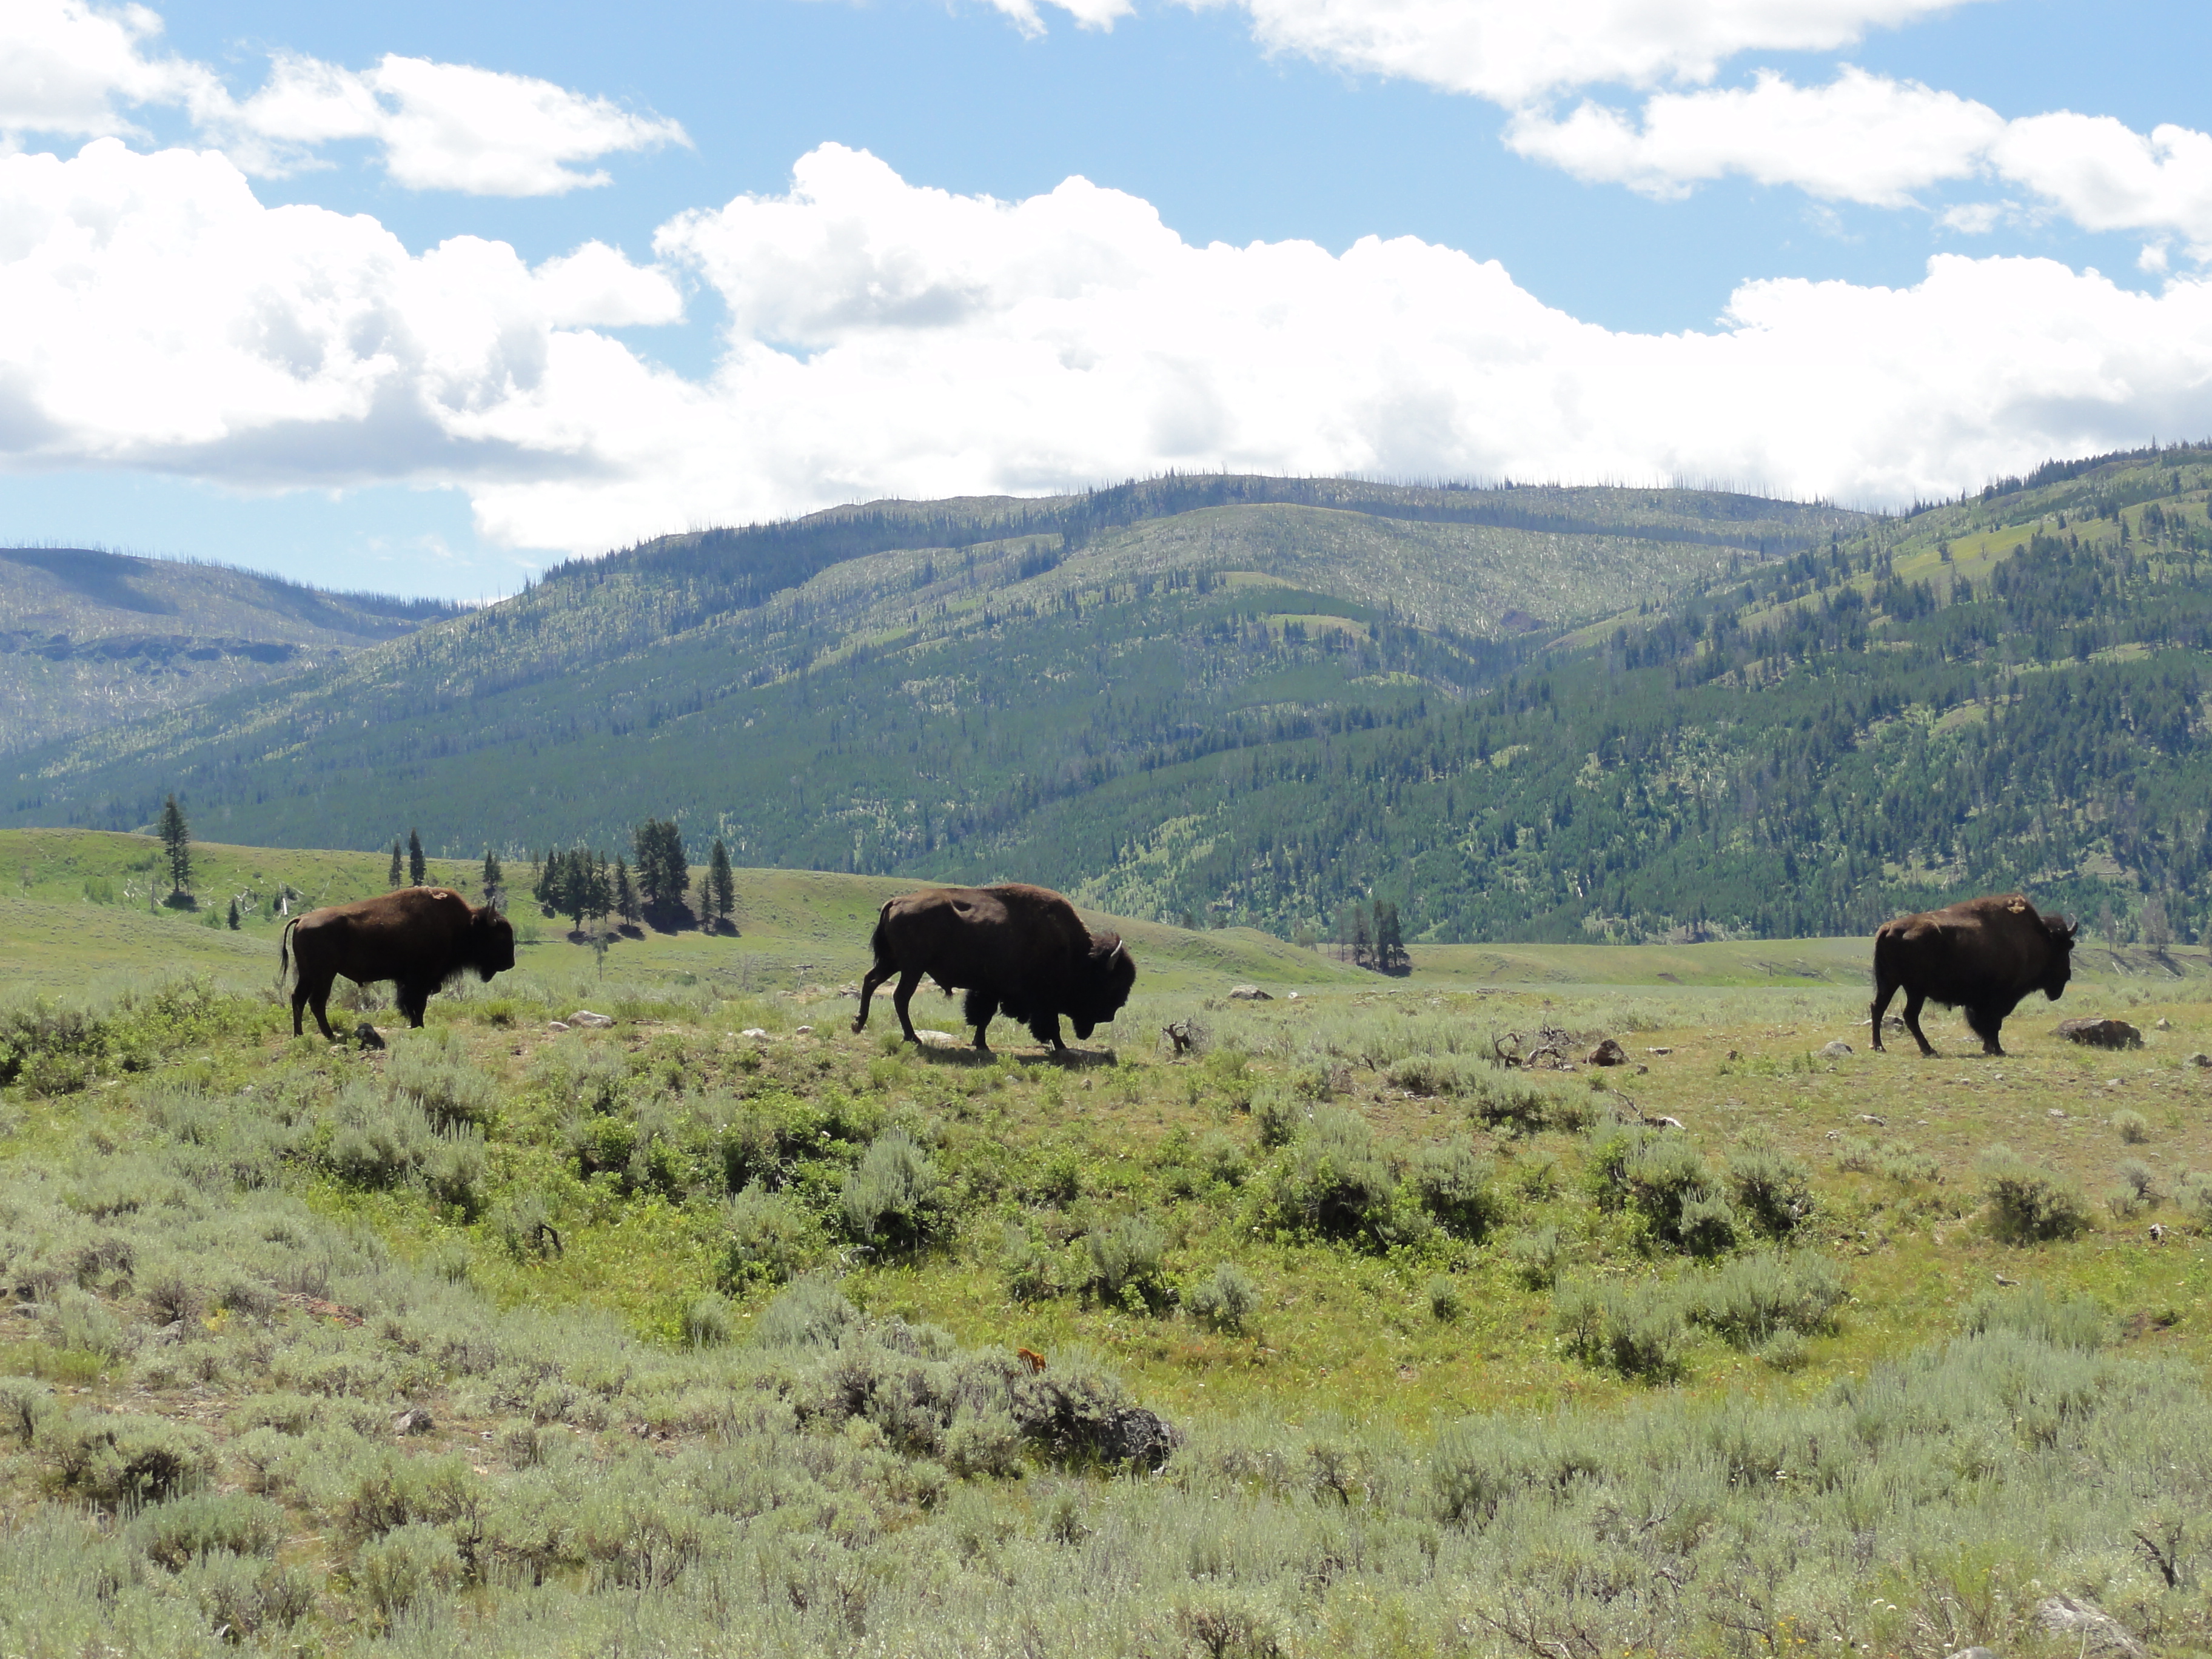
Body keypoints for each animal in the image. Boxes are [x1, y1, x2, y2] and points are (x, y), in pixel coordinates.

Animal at [276, 885, 513, 1039]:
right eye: (500, 936)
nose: (510, 963)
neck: (463, 925)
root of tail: (302, 919)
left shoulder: (410, 980)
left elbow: (412, 1004)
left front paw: (417, 1026)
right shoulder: (419, 978)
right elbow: (416, 1004)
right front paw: (419, 1026)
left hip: (308, 974)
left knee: (298, 998)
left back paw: (300, 1034)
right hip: (324, 974)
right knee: (316, 1001)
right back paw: (329, 1035)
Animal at [849, 885, 1141, 1053]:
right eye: (1110, 984)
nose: (1109, 1016)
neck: (1075, 954)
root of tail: (897, 901)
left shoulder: (990, 989)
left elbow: (983, 1017)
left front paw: (981, 1044)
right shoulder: (1041, 999)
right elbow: (1050, 1025)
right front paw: (1061, 1047)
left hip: (893, 963)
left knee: (870, 981)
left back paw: (859, 1024)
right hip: (912, 968)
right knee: (900, 997)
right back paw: (912, 1038)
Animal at [1866, 889, 2070, 1057]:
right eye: (2066, 947)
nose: (2067, 975)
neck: (2034, 940)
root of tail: (1889, 927)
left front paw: (1990, 1048)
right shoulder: (1996, 998)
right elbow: (1992, 1023)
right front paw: (1997, 1049)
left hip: (1891, 983)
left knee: (1879, 1007)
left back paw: (1880, 1046)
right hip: (1914, 989)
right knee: (1909, 1015)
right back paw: (1927, 1050)